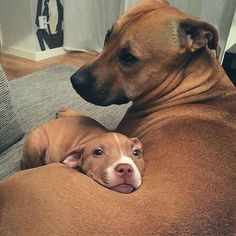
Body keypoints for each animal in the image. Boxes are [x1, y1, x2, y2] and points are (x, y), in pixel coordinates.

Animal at [0, 0, 235, 235]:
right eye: (107, 37)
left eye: (129, 57)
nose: (74, 80)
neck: (193, 85)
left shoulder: (120, 129)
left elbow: (91, 118)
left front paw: (68, 112)